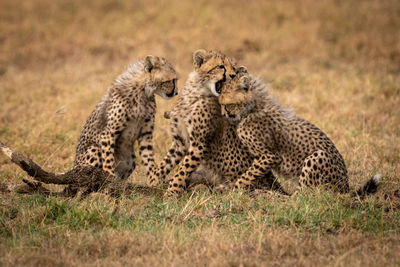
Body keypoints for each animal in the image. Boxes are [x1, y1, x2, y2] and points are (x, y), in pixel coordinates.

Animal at [217, 67, 380, 197]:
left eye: (227, 104)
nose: (223, 115)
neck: (253, 108)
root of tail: (345, 187)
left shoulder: (270, 156)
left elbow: (248, 174)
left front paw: (233, 190)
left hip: (318, 156)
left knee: (299, 197)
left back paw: (270, 194)